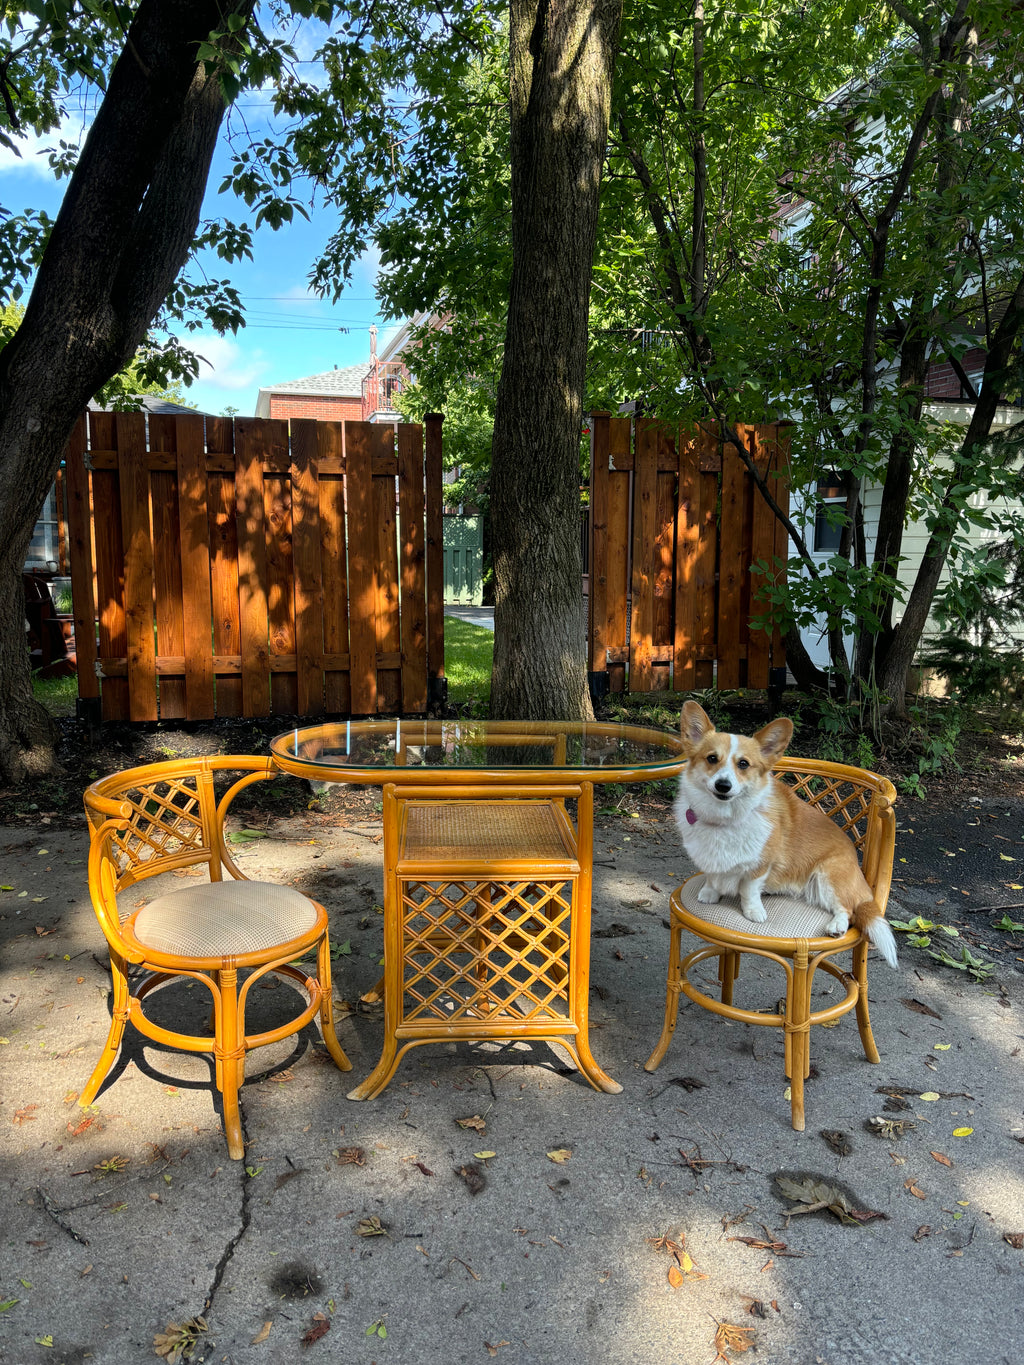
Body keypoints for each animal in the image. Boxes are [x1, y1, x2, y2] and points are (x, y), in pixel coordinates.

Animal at [682, 704, 895, 971]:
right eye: (712, 758)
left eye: (743, 764)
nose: (723, 785)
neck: (725, 818)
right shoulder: (709, 858)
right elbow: (713, 876)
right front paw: (710, 893)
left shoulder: (761, 864)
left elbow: (748, 888)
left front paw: (753, 911)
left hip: (829, 876)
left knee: (847, 908)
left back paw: (836, 926)